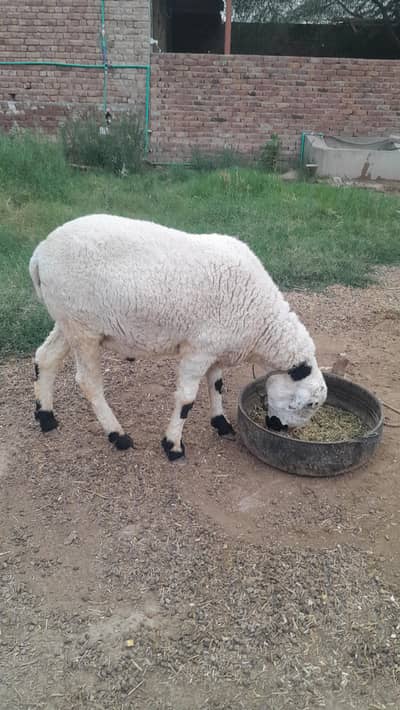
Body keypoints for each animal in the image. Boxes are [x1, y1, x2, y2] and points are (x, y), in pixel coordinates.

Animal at [29, 214, 327, 460]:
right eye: (309, 405)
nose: (278, 427)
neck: (262, 321)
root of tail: (40, 253)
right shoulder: (199, 349)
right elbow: (186, 399)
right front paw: (173, 445)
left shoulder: (216, 345)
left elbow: (216, 384)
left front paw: (221, 423)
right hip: (83, 328)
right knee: (88, 382)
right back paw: (118, 436)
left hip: (67, 319)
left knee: (46, 358)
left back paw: (46, 417)